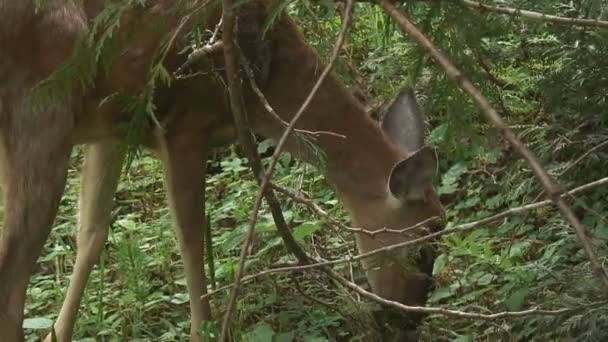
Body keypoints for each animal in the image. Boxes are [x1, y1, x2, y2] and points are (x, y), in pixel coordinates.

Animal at [0, 0, 444, 340]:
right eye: (423, 248)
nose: (409, 321)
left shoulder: (113, 128)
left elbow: (90, 235)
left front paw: (56, 333)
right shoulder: (186, 123)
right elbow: (192, 242)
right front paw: (207, 329)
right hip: (41, 112)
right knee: (11, 278)